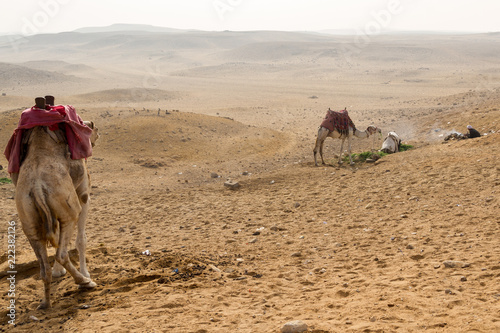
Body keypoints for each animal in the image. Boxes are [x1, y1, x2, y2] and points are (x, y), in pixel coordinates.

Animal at [6, 96, 98, 308]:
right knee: (62, 252)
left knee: (43, 264)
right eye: (88, 128)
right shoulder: (83, 194)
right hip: (68, 209)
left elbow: (56, 238)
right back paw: (85, 282)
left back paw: (45, 302)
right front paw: (86, 273)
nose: (95, 129)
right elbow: (81, 239)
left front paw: (59, 272)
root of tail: (37, 189)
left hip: (28, 217)